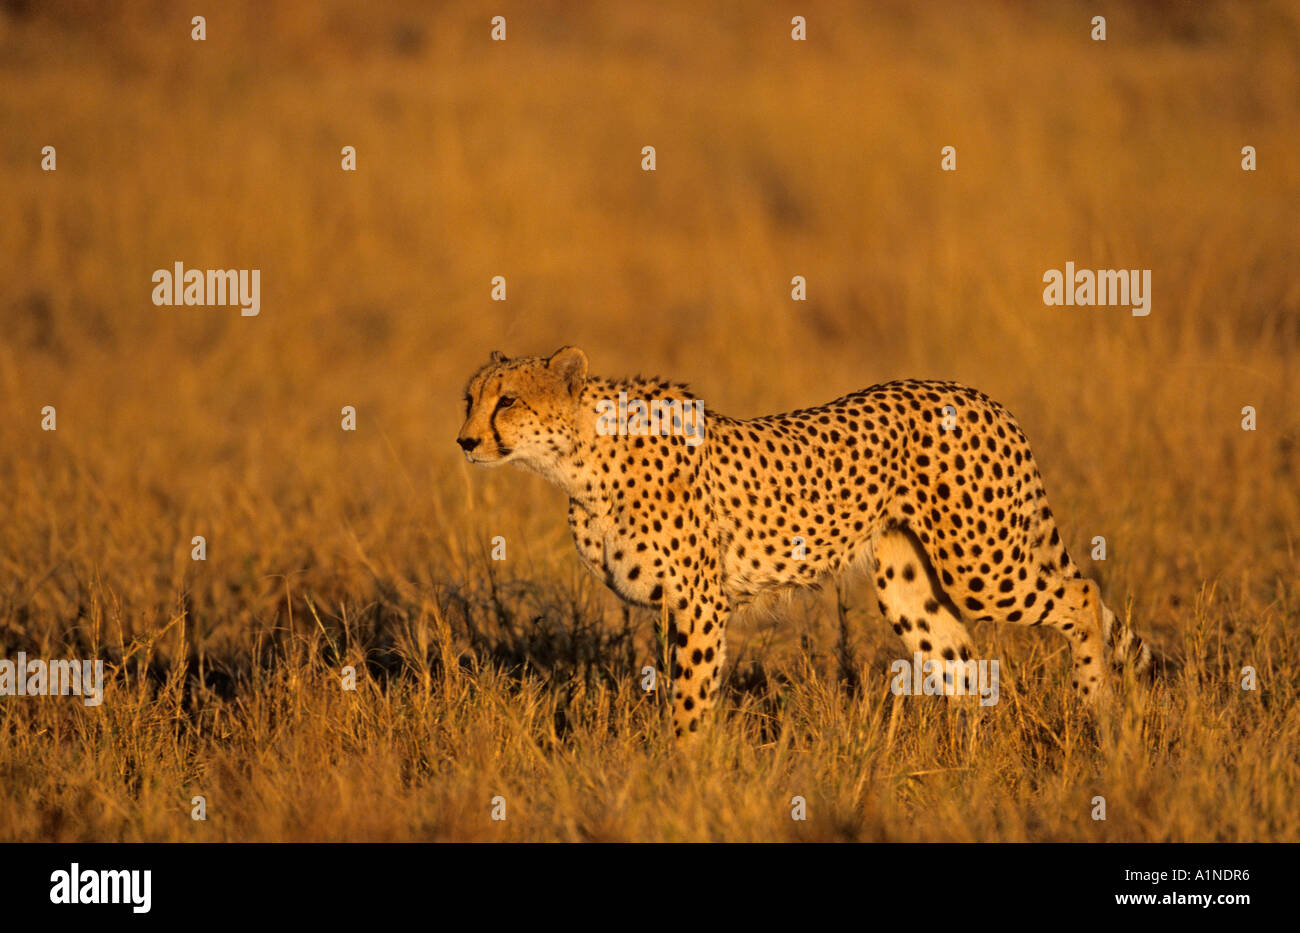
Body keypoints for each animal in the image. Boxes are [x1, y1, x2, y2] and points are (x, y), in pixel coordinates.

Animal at [457, 348, 1149, 743]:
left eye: (508, 400)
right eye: (471, 398)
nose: (465, 440)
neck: (577, 460)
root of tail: (978, 395)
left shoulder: (699, 602)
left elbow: (689, 701)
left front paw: (680, 774)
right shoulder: (676, 607)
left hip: (982, 565)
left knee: (1083, 593)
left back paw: (1098, 710)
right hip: (908, 585)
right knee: (963, 663)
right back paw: (973, 761)